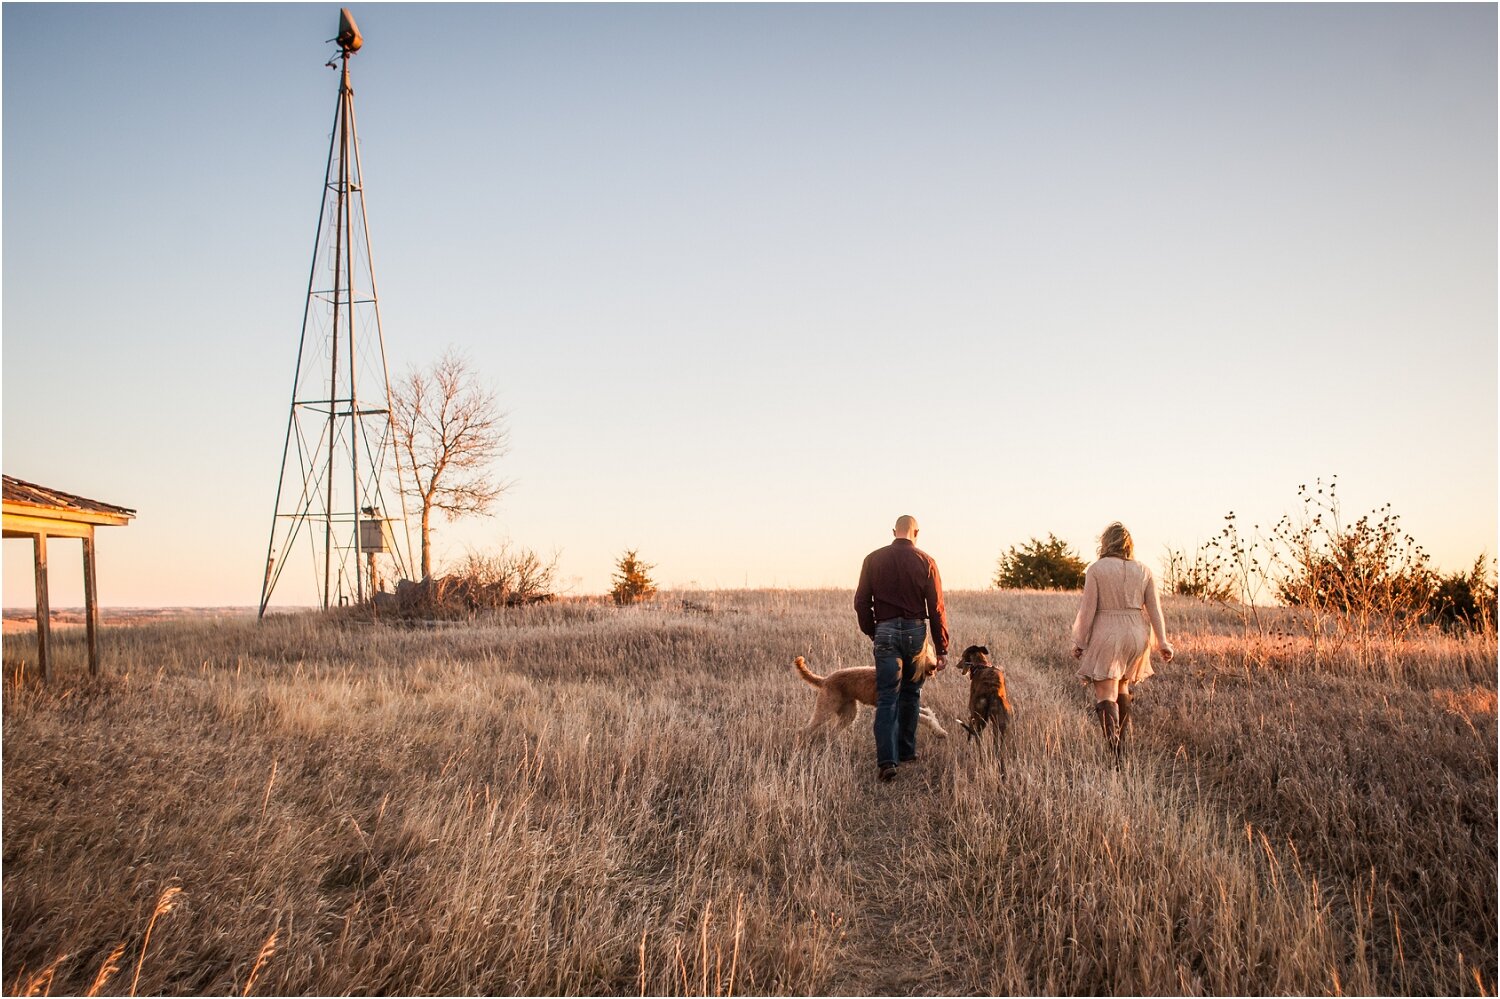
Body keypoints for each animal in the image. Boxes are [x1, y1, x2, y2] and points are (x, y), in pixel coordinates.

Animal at [792, 633, 942, 735]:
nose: (934, 666)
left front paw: (938, 727)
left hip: (848, 713)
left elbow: (928, 713)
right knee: (803, 731)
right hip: (825, 710)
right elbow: (926, 718)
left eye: (931, 653)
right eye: (921, 656)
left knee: (834, 731)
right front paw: (941, 733)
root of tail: (825, 680)